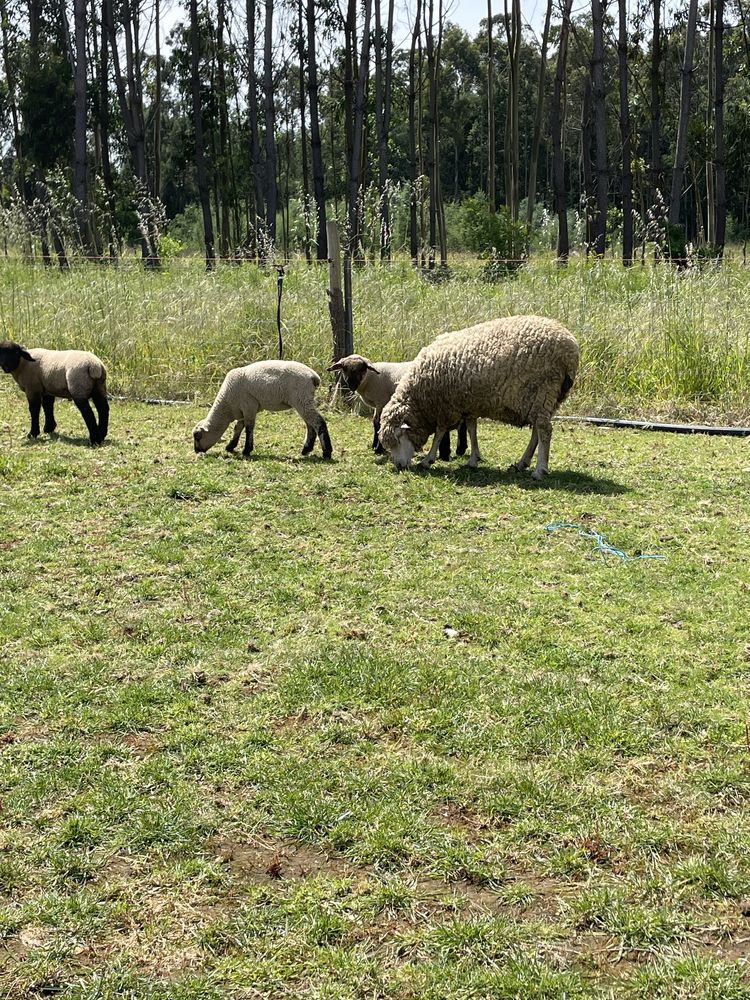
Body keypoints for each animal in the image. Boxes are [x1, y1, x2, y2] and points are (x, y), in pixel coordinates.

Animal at [192, 360, 334, 460]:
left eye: (197, 436)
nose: (196, 451)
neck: (227, 407)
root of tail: (313, 376)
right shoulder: (243, 410)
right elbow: (238, 428)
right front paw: (230, 446)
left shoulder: (249, 406)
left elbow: (249, 428)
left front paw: (246, 450)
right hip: (303, 401)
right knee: (310, 425)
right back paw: (306, 449)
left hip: (301, 399)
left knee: (318, 422)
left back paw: (326, 452)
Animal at [330, 354, 470, 458]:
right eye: (344, 368)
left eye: (361, 369)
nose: (351, 385)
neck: (370, 379)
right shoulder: (377, 404)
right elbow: (375, 423)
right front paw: (375, 445)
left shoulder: (381, 402)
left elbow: (379, 423)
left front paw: (379, 448)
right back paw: (459, 449)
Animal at [382, 316, 580, 480]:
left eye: (398, 438)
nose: (399, 466)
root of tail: (571, 350)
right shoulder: (468, 404)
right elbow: (472, 429)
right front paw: (473, 459)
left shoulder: (447, 408)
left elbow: (440, 433)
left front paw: (428, 459)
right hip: (546, 399)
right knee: (536, 432)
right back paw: (522, 463)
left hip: (542, 390)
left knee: (544, 430)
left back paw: (539, 470)